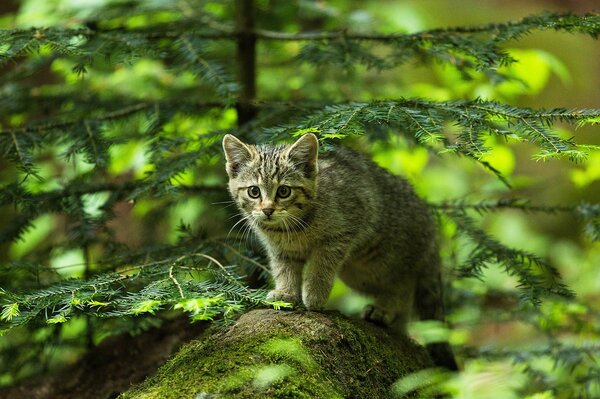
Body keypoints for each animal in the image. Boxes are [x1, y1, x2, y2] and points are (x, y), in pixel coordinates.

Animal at [223, 134, 458, 372]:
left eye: (284, 191)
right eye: (254, 191)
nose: (268, 210)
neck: (290, 228)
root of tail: (430, 224)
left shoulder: (340, 235)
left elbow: (321, 268)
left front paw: (314, 295)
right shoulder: (281, 250)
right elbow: (284, 269)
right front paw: (285, 293)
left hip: (387, 259)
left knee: (403, 286)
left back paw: (384, 309)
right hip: (358, 273)